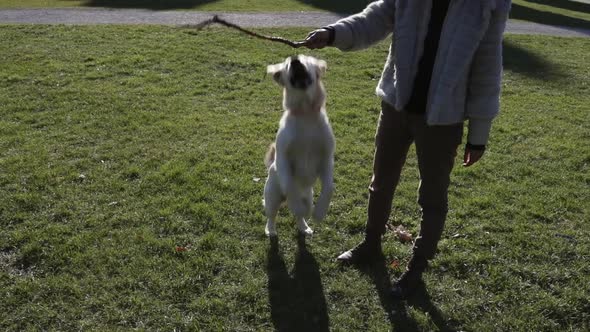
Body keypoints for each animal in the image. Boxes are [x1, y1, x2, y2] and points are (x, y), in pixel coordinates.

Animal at [264, 55, 338, 236]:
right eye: (287, 64)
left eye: (307, 59)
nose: (295, 59)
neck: (306, 113)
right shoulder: (283, 158)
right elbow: (291, 188)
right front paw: (297, 206)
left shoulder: (327, 158)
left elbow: (329, 188)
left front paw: (319, 212)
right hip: (272, 196)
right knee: (272, 215)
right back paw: (271, 230)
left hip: (308, 196)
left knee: (302, 213)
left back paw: (304, 226)